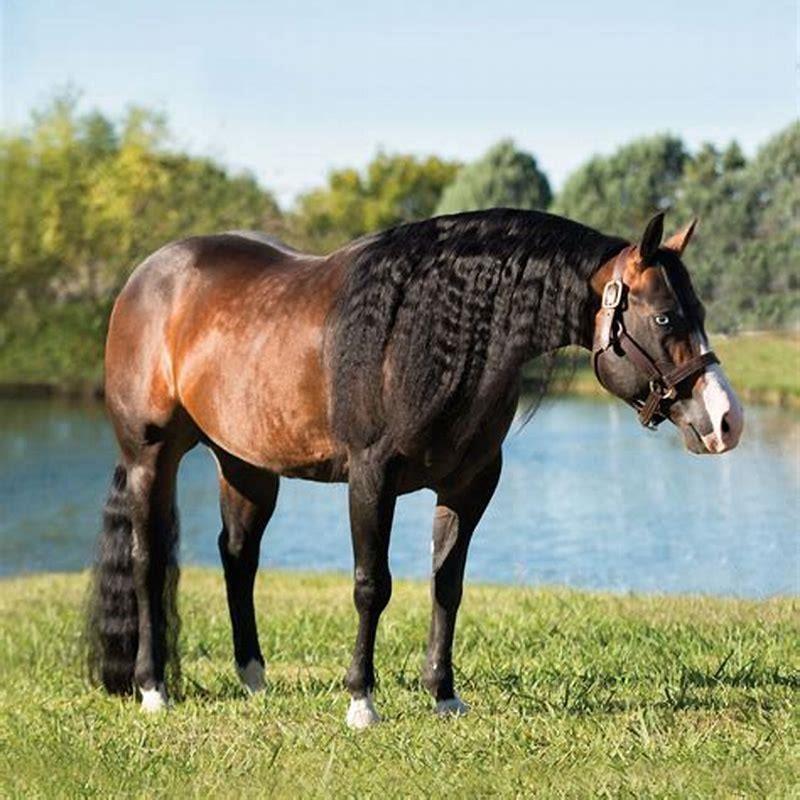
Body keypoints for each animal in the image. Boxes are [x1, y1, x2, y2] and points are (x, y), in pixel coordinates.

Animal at [86, 208, 743, 727]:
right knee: (148, 560)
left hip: (245, 464)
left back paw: (253, 677)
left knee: (238, 557)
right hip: (150, 456)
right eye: (664, 318)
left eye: (698, 310)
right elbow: (371, 585)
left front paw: (443, 694)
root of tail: (148, 276)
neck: (421, 333)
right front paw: (361, 701)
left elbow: (447, 584)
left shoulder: (470, 483)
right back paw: (152, 687)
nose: (726, 420)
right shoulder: (371, 478)